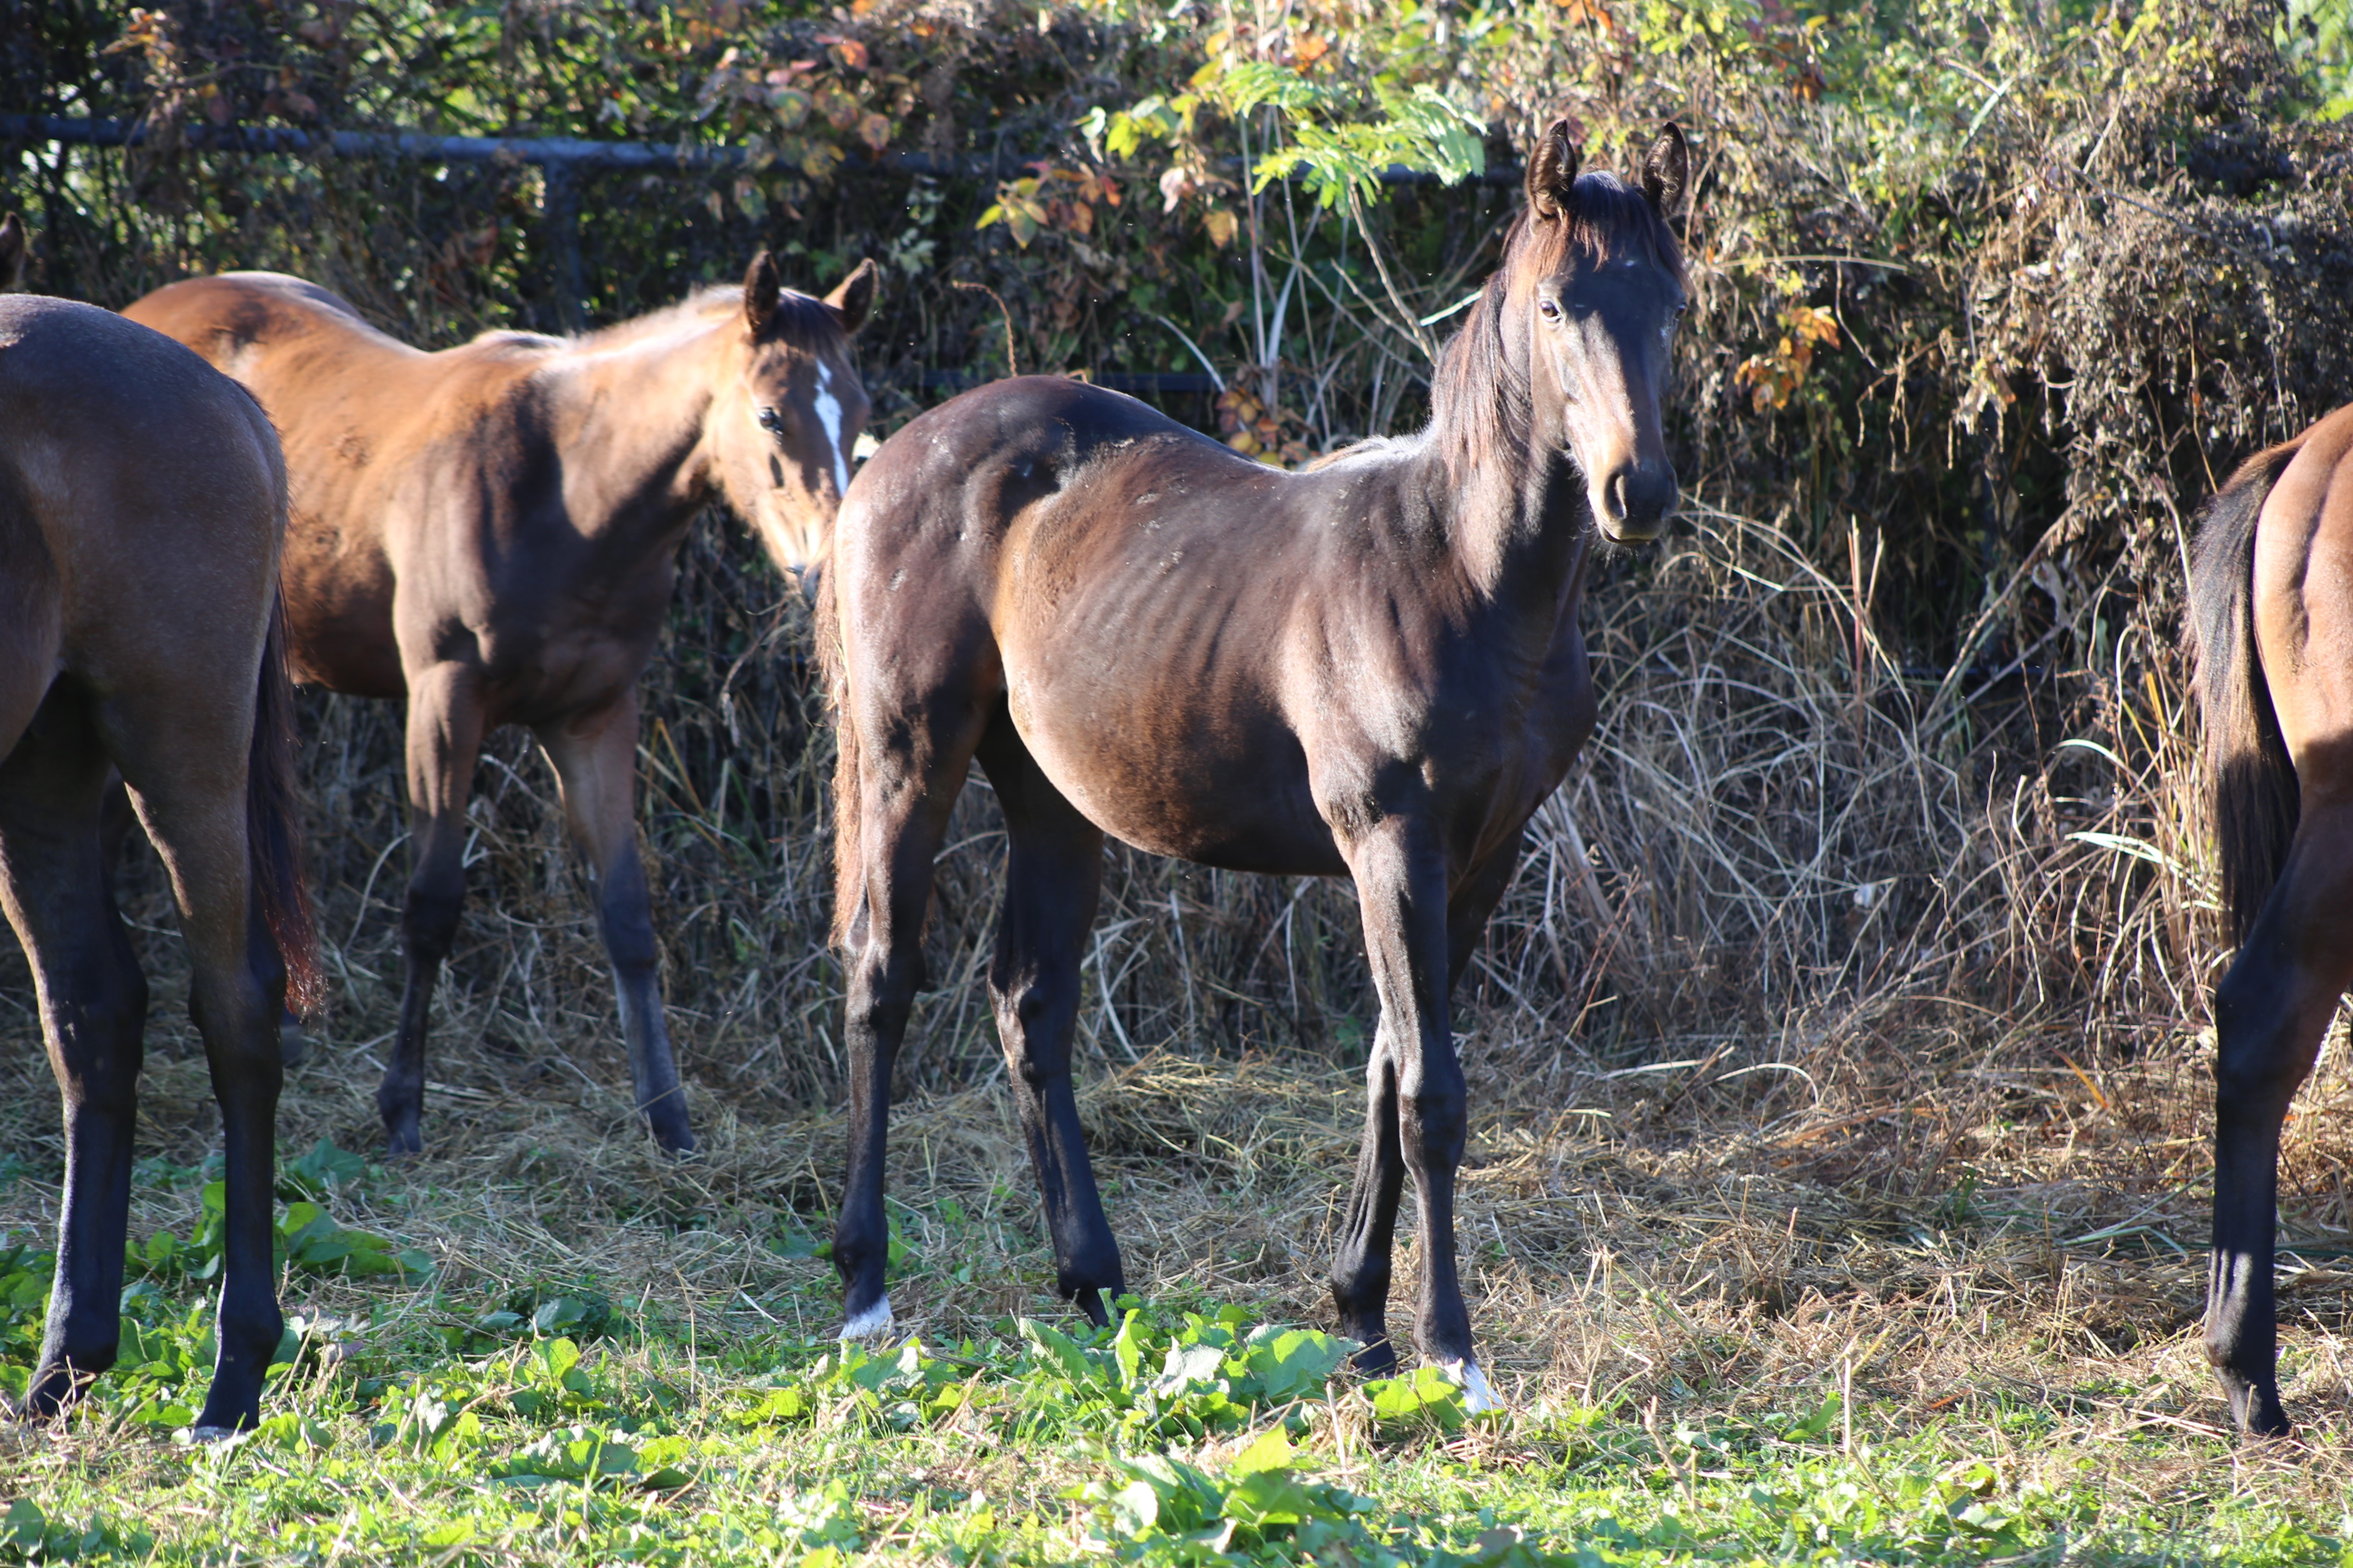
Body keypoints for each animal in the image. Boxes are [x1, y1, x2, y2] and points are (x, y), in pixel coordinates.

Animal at [0, 217, 320, 1439]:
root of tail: (228, 400)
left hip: (179, 745)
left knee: (236, 1007)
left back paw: (235, 1375)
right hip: (41, 764)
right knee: (91, 1014)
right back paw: (65, 1363)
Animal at [124, 257, 875, 1161]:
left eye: (861, 415)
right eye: (770, 413)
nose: (827, 572)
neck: (570, 494)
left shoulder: (596, 717)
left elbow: (628, 915)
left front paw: (669, 1119)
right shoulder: (445, 703)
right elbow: (433, 905)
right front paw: (402, 1110)